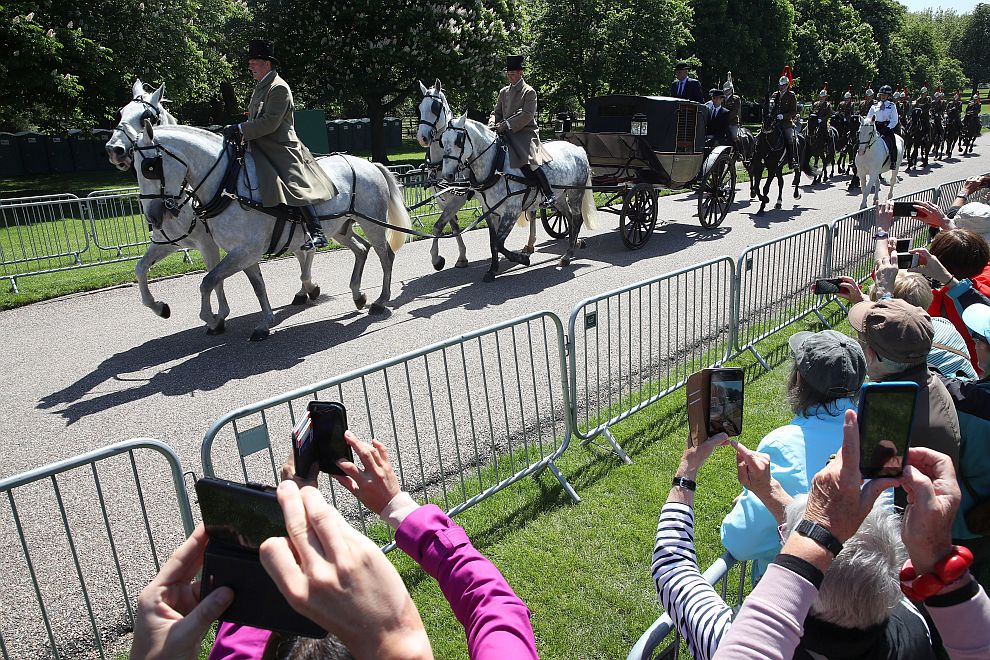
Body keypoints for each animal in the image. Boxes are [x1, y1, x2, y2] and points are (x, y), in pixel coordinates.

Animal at [134, 122, 408, 340]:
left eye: (150, 167)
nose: (153, 217)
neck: (228, 186)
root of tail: (369, 164)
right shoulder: (242, 253)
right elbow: (256, 286)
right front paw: (264, 322)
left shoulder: (241, 250)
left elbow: (208, 281)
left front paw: (212, 319)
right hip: (340, 228)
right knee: (362, 249)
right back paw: (357, 294)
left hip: (373, 223)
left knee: (385, 255)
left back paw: (381, 300)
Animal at [440, 114, 596, 282]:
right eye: (442, 141)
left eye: (459, 140)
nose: (447, 175)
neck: (496, 167)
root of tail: (577, 148)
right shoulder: (490, 212)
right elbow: (493, 242)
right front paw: (493, 269)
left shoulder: (511, 212)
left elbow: (499, 243)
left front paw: (522, 259)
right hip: (560, 197)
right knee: (570, 219)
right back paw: (572, 247)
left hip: (575, 193)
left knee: (577, 219)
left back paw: (568, 255)